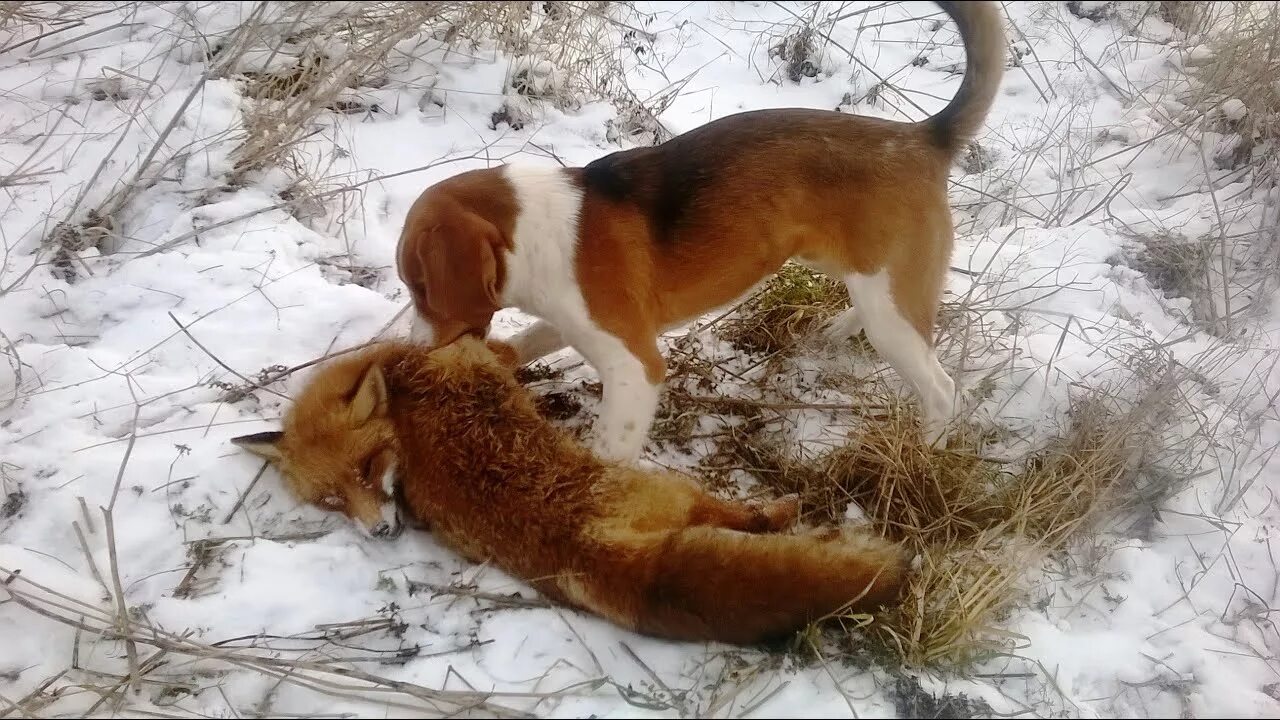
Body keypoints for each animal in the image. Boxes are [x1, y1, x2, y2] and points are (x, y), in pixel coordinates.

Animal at [232, 335, 911, 645]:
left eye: (368, 471)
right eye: (331, 500)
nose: (378, 531)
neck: (403, 379)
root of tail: (583, 549)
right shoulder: (484, 353)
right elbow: (513, 346)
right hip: (678, 490)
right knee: (745, 521)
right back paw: (789, 513)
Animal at [394, 2, 1003, 461]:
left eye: (421, 289)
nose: (415, 352)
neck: (538, 232)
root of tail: (924, 137)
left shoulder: (634, 367)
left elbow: (607, 451)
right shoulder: (575, 321)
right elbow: (533, 338)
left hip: (893, 314)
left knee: (940, 389)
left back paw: (926, 455)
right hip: (855, 274)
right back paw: (838, 329)